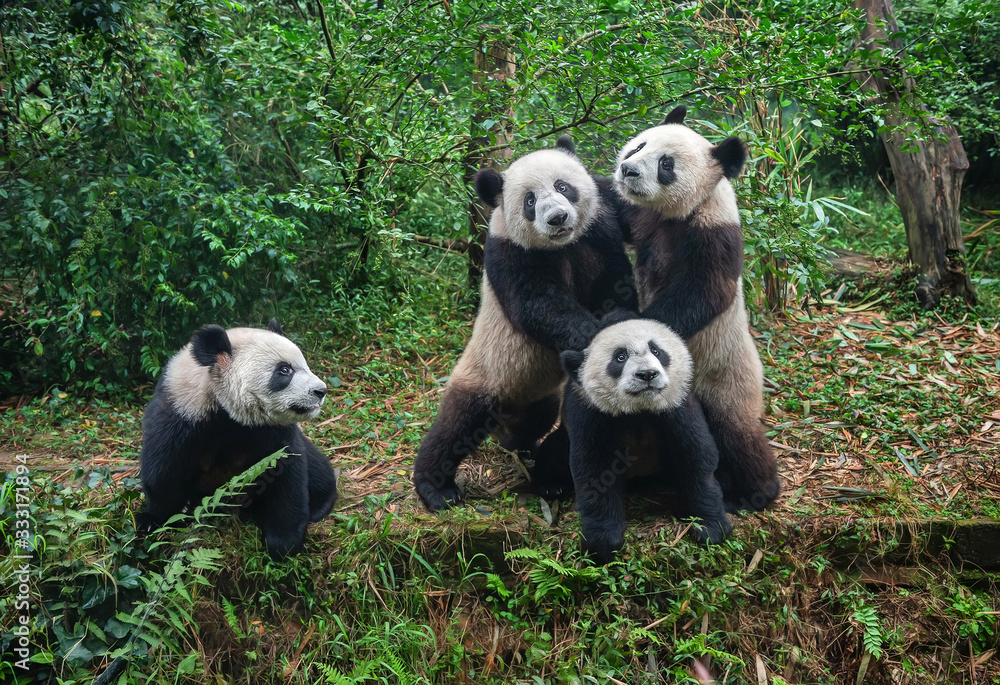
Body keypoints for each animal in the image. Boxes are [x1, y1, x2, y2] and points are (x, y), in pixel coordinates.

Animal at [137, 319, 337, 560]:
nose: (320, 391)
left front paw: (282, 544)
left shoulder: (274, 431)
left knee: (317, 470)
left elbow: (286, 475)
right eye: (284, 370)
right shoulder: (181, 417)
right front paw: (152, 521)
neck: (226, 414)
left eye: (305, 365)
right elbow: (164, 471)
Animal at [413, 136, 637, 511]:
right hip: (483, 375)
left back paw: (527, 450)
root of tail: (506, 415)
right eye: (530, 201)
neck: (562, 244)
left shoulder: (598, 229)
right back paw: (436, 487)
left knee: (538, 417)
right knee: (456, 426)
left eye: (563, 186)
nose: (557, 217)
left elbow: (614, 283)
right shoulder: (511, 252)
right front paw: (598, 337)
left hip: (536, 394)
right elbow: (538, 306)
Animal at [560, 317, 732, 563]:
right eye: (620, 357)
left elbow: (697, 457)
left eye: (657, 351)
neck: (638, 409)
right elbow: (594, 469)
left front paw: (710, 527)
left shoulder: (677, 406)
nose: (647, 374)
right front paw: (602, 542)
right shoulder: (591, 413)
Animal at [613, 105, 780, 513]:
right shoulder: (643, 219)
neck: (683, 210)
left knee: (736, 432)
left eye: (666, 164)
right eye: (639, 145)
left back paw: (755, 492)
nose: (628, 170)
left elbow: (705, 294)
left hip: (725, 376)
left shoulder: (713, 235)